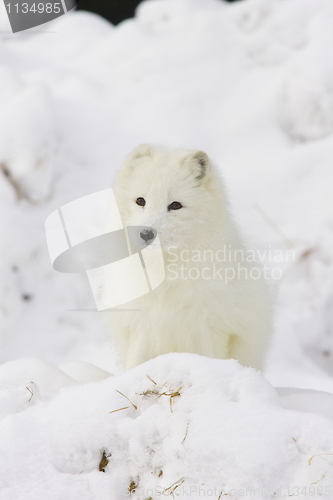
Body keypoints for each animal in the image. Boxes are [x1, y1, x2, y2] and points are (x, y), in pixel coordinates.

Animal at [110, 145, 272, 372]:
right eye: (140, 201)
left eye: (175, 205)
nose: (146, 234)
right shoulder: (141, 324)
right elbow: (135, 364)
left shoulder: (211, 328)